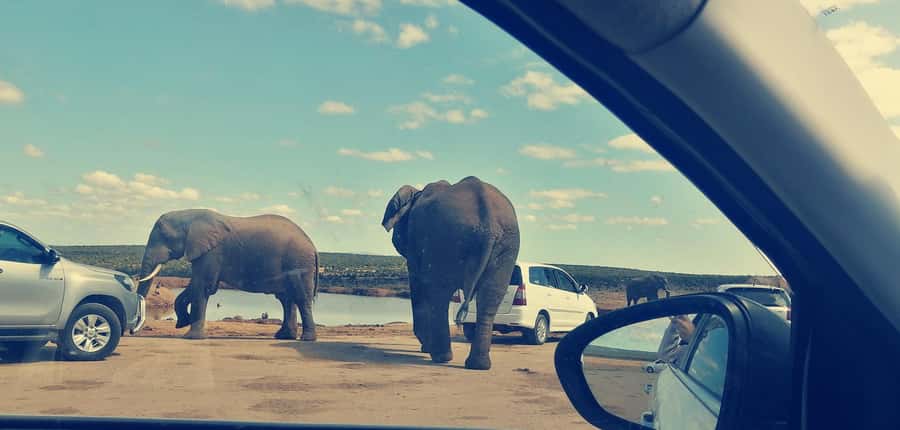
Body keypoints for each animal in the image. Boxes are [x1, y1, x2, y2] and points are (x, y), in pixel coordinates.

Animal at [135, 209, 319, 341]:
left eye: (165, 237)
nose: (133, 333)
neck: (191, 216)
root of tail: (313, 245)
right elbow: (196, 286)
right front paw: (182, 323)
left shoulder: (211, 253)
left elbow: (203, 286)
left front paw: (191, 337)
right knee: (286, 298)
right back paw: (284, 337)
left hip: (299, 263)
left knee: (300, 298)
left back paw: (306, 339)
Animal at [382, 176, 520, 370]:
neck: (417, 193)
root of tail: (489, 226)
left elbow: (418, 285)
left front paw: (425, 347)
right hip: (507, 245)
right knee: (490, 297)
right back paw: (478, 365)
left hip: (444, 240)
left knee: (438, 294)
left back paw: (441, 357)